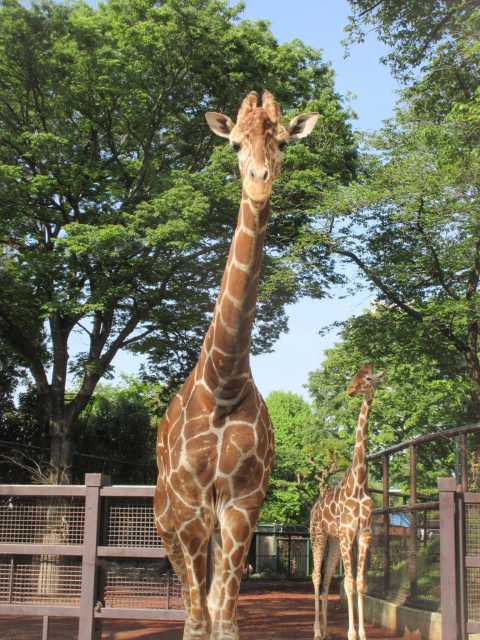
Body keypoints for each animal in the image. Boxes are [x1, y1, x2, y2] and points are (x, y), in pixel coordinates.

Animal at [155, 91, 318, 640]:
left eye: (283, 141)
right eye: (235, 144)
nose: (259, 179)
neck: (222, 383)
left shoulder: (243, 503)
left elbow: (224, 617)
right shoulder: (191, 507)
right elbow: (199, 620)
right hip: (166, 519)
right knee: (191, 605)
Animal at [310, 364, 384, 640]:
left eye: (369, 378)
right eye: (355, 375)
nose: (350, 390)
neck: (359, 484)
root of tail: (314, 507)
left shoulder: (363, 533)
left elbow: (360, 583)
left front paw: (362, 634)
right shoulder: (346, 533)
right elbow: (349, 583)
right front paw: (352, 633)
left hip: (332, 540)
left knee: (327, 577)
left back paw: (326, 632)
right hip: (318, 535)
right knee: (316, 575)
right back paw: (316, 631)